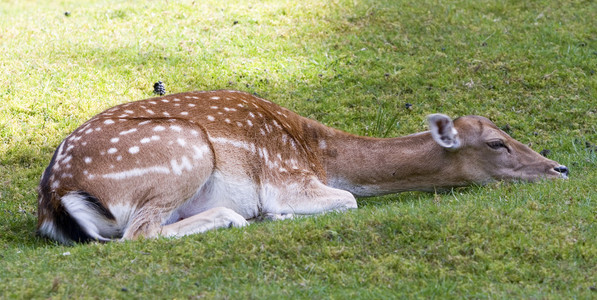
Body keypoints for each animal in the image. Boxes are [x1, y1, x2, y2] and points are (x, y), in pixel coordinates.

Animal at [37, 89, 568, 244]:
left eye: (504, 129)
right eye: (497, 143)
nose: (560, 169)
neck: (321, 153)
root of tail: (54, 200)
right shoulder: (286, 178)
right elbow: (349, 199)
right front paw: (278, 214)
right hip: (185, 151)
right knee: (139, 234)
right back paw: (241, 218)